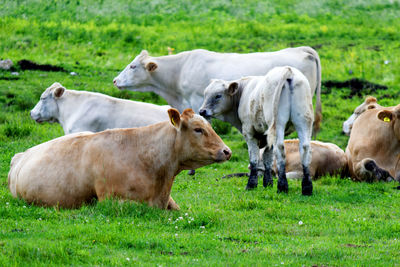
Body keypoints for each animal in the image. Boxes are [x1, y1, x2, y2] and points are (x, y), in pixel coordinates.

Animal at [198, 66, 314, 197]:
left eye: (218, 96)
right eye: (205, 94)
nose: (202, 111)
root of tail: (288, 70)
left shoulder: (249, 132)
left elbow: (254, 158)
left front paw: (251, 185)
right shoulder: (266, 136)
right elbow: (267, 158)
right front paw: (268, 183)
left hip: (279, 123)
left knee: (280, 149)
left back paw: (282, 187)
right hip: (303, 120)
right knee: (305, 148)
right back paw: (307, 188)